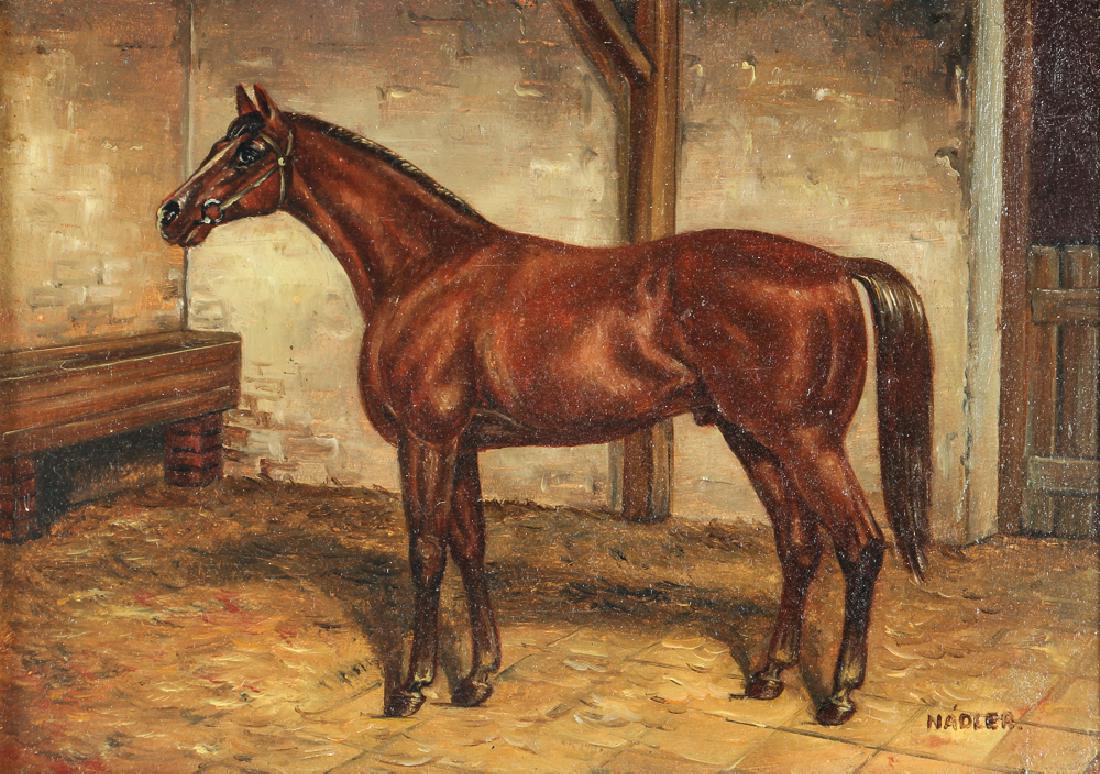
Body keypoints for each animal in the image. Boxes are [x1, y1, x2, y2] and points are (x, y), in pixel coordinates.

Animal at [158, 85, 932, 726]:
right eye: (219, 142)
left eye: (248, 151)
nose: (174, 214)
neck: (430, 271)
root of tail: (834, 266)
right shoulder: (462, 444)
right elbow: (471, 547)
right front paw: (478, 678)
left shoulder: (426, 440)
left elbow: (426, 552)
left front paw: (413, 686)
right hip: (755, 438)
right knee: (799, 545)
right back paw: (770, 676)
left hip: (808, 441)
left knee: (860, 546)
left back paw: (838, 695)